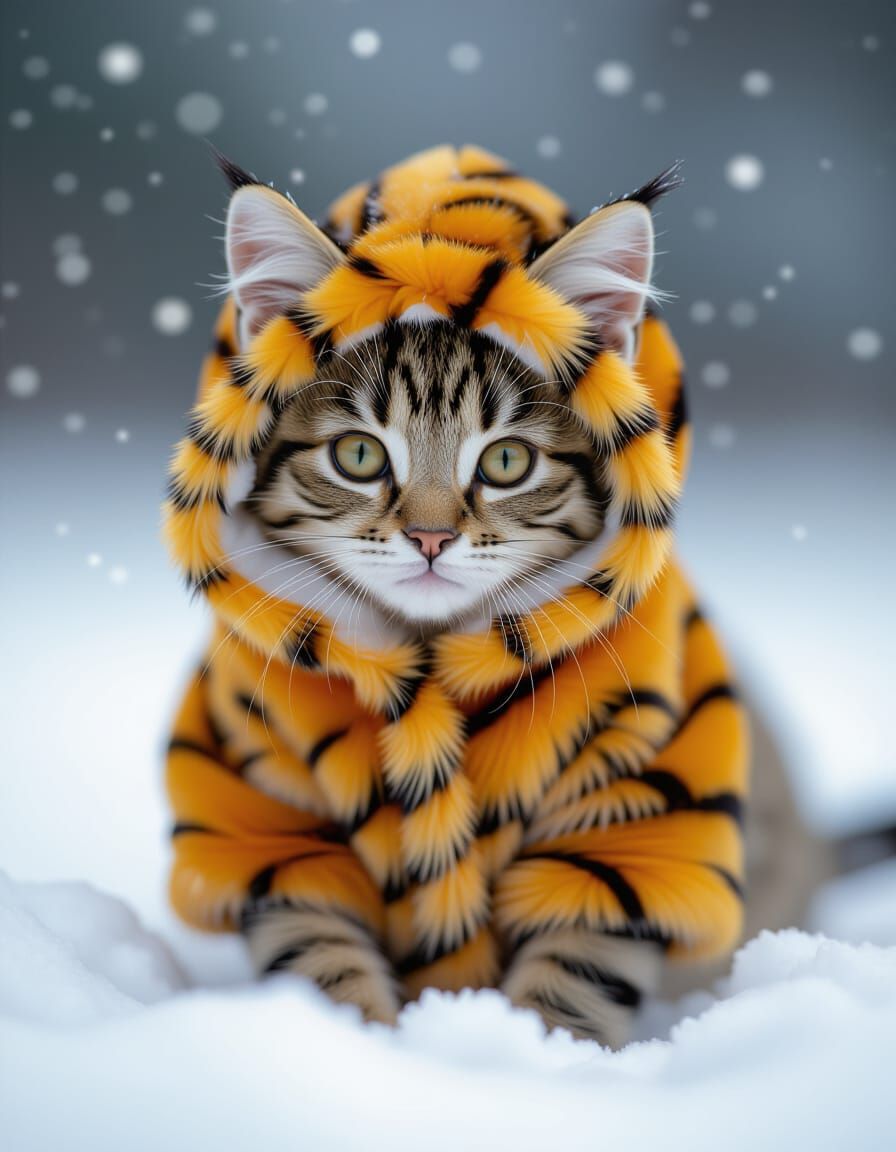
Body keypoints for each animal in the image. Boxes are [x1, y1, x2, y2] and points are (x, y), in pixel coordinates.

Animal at [163, 144, 748, 1047]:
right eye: (359, 455)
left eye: (506, 461)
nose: (432, 539)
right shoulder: (273, 818)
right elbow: (318, 956)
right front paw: (358, 1047)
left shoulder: (631, 816)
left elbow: (575, 976)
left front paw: (534, 1055)